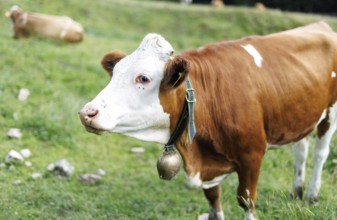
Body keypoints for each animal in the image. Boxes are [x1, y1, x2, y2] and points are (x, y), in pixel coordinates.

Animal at [79, 21, 336, 219]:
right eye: (115, 72)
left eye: (144, 78)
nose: (87, 112)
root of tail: (319, 25)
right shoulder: (209, 168)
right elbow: (214, 200)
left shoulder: (252, 155)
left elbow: (247, 201)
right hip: (298, 115)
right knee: (300, 150)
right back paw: (296, 191)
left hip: (330, 114)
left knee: (320, 154)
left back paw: (312, 195)